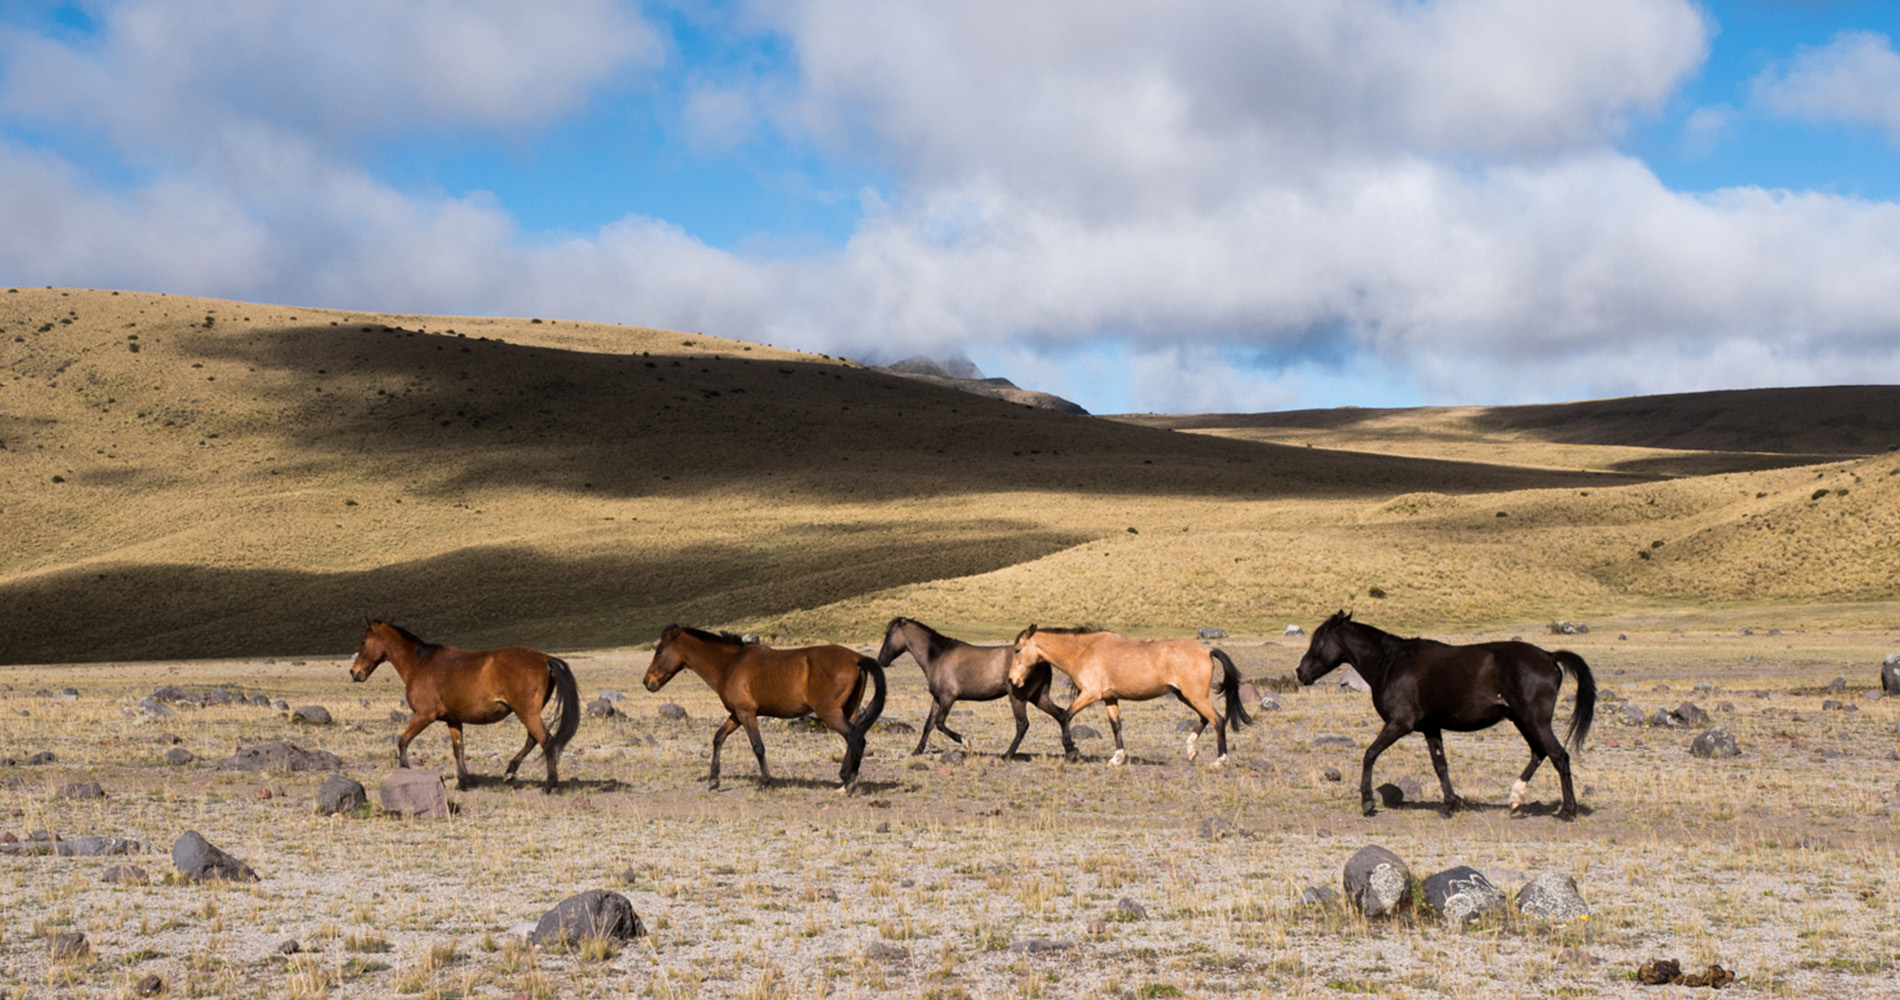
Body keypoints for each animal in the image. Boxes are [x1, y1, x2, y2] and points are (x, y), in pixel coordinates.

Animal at [345, 619, 573, 790]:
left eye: (363, 642)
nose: (354, 672)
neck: (420, 665)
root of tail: (544, 658)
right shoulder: (453, 720)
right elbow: (458, 749)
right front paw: (463, 782)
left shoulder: (424, 715)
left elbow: (403, 740)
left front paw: (404, 770)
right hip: (528, 713)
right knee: (533, 740)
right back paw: (510, 773)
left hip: (527, 713)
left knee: (545, 740)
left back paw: (550, 785)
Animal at [642, 623, 885, 794]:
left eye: (660, 651)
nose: (647, 682)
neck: (730, 665)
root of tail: (856, 658)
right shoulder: (736, 714)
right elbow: (718, 738)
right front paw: (713, 780)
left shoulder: (746, 713)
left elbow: (758, 747)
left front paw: (765, 782)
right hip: (848, 711)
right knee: (856, 739)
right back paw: (847, 782)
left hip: (830, 713)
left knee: (855, 737)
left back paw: (847, 780)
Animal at [877, 619, 1079, 760]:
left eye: (888, 635)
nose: (881, 660)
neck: (937, 656)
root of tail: (1042, 659)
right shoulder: (937, 698)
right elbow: (929, 725)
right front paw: (917, 751)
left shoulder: (948, 698)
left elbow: (940, 724)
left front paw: (966, 742)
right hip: (1039, 697)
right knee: (1062, 714)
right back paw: (1071, 751)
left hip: (1018, 698)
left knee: (1023, 724)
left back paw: (1007, 755)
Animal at [1003, 627, 1254, 768]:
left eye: (1017, 650)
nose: (1012, 680)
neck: (1084, 650)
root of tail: (1207, 650)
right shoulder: (1109, 698)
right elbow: (1116, 726)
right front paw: (1117, 758)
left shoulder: (1090, 694)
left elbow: (1065, 716)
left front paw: (1072, 752)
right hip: (1186, 696)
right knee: (1206, 718)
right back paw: (1191, 749)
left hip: (1195, 696)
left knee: (1217, 720)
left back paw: (1219, 761)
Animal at [1299, 612, 1596, 825]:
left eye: (1317, 641)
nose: (1300, 673)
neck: (1391, 664)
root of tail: (1548, 656)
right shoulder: (1431, 727)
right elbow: (1440, 765)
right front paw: (1450, 803)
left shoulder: (1399, 724)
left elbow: (1370, 754)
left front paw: (1367, 802)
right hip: (1522, 721)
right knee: (1539, 753)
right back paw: (1515, 799)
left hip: (1534, 720)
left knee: (1559, 756)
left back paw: (1566, 811)